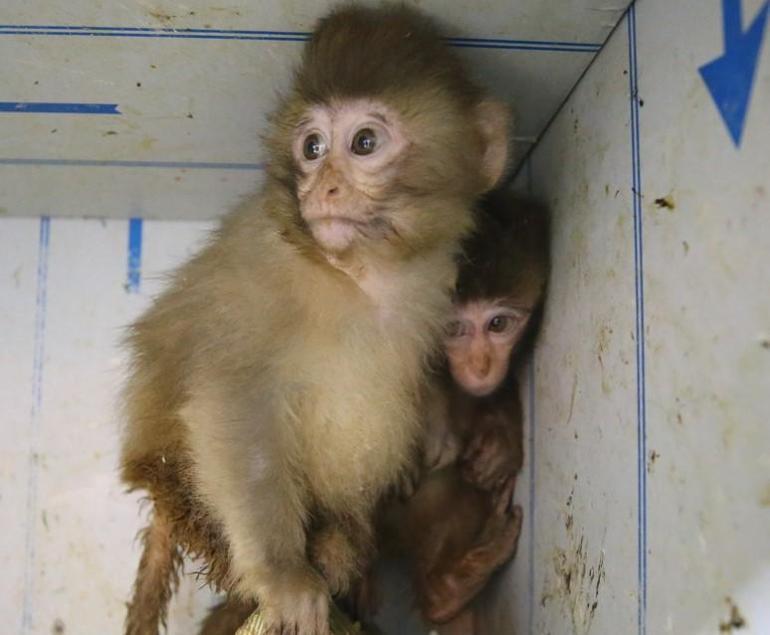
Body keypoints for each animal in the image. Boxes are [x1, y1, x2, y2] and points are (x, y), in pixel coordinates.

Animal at [118, 6, 510, 635]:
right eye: (312, 146)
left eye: (365, 142)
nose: (323, 187)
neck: (359, 276)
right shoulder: (260, 269)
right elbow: (235, 404)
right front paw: (285, 576)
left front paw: (438, 424)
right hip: (179, 488)